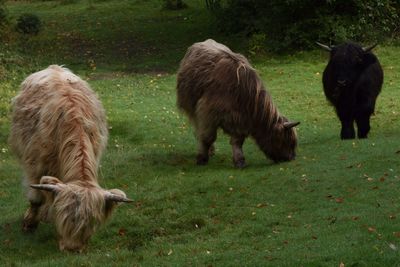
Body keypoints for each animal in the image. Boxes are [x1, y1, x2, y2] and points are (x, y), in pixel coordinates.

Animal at [9, 65, 132, 253]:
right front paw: (29, 224)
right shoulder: (35, 165)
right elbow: (36, 198)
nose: (72, 249)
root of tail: (54, 67)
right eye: (65, 218)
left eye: (91, 222)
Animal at [177, 38, 298, 169]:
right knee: (199, 129)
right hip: (191, 107)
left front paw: (239, 161)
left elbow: (237, 142)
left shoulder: (240, 120)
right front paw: (202, 158)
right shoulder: (207, 113)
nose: (291, 158)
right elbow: (207, 137)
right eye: (286, 140)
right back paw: (210, 150)